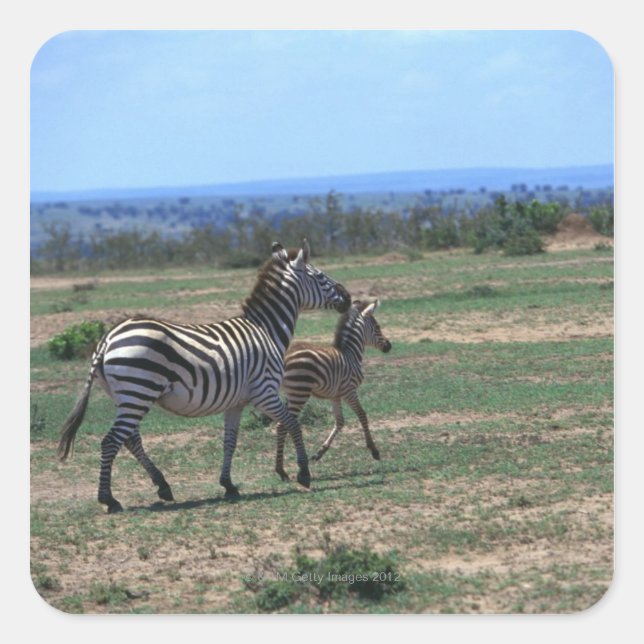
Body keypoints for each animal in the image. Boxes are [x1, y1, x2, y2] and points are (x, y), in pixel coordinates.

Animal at [57, 240, 351, 513]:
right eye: (320, 276)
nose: (347, 297)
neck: (266, 330)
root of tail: (107, 339)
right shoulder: (264, 391)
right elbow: (292, 424)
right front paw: (303, 473)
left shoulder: (237, 401)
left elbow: (230, 442)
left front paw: (228, 485)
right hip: (139, 391)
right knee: (111, 441)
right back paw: (109, 499)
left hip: (126, 396)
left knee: (130, 439)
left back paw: (163, 486)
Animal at [274, 299, 392, 480]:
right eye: (377, 327)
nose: (389, 346)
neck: (350, 354)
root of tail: (284, 356)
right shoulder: (349, 390)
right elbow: (362, 415)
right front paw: (374, 450)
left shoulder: (335, 395)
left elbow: (340, 422)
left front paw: (320, 452)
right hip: (300, 392)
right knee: (282, 425)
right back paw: (281, 470)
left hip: (292, 393)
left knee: (283, 424)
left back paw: (282, 469)